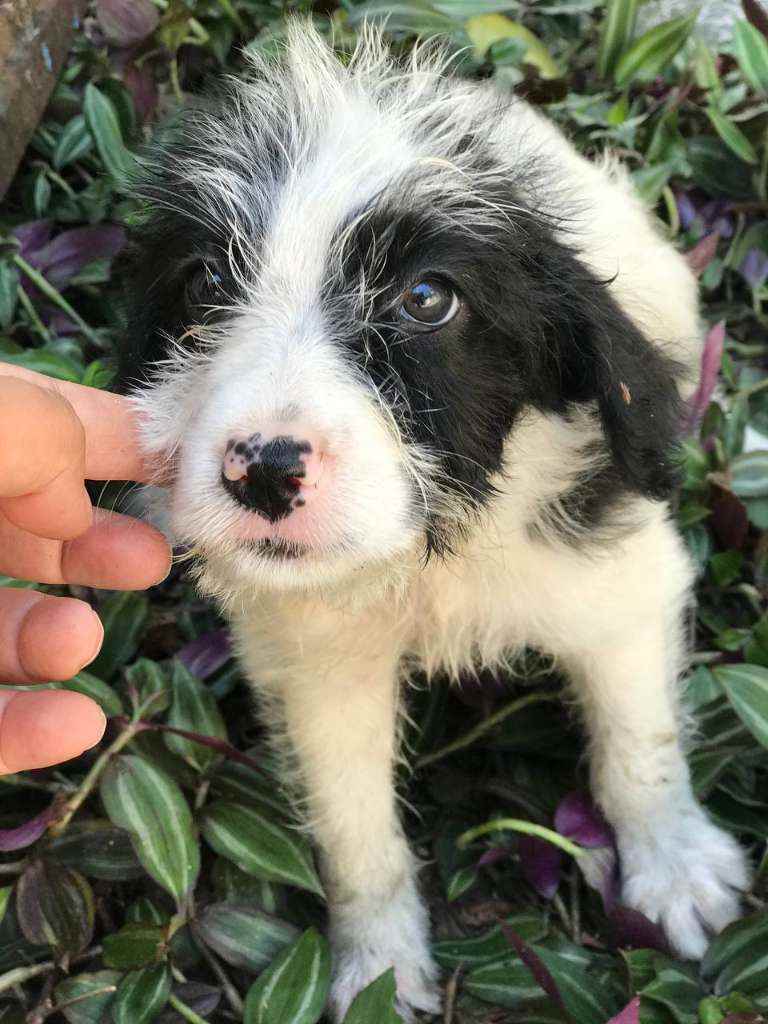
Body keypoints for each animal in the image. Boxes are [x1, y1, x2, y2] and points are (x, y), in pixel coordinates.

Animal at [118, 23, 750, 1020]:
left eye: (426, 299)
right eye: (206, 280)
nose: (265, 469)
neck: (432, 558)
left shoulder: (615, 583)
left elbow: (637, 736)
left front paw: (674, 864)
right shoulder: (320, 668)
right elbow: (352, 826)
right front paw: (376, 964)